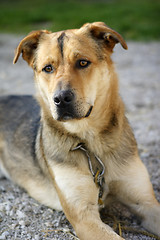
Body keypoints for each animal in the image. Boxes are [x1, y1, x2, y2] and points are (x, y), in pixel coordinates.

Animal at [0, 22, 159, 238]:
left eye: (83, 63)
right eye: (48, 68)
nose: (60, 99)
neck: (90, 142)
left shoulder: (146, 202)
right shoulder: (84, 216)